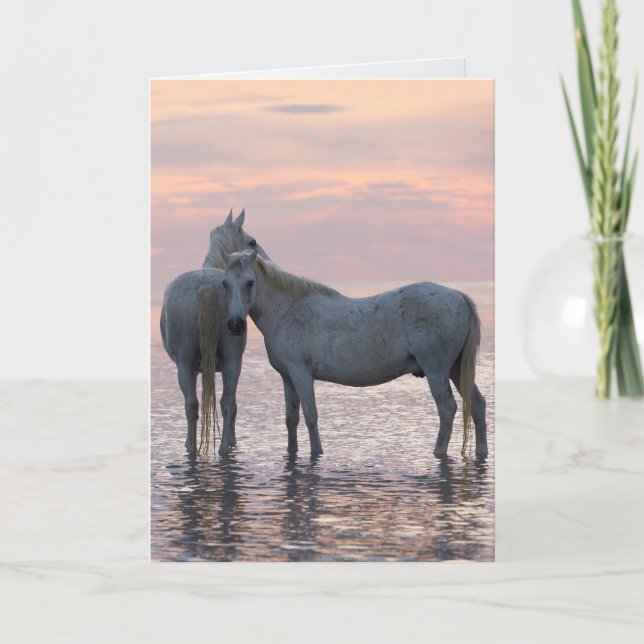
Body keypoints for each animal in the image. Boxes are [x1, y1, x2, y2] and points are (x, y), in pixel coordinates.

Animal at [160, 210, 269, 455]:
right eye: (252, 241)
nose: (266, 261)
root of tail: (206, 286)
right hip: (227, 362)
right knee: (222, 403)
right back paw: (221, 447)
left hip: (188, 365)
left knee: (196, 404)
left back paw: (199, 447)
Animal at [221, 249, 488, 459]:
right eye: (225, 283)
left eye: (250, 282)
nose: (234, 325)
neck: (287, 311)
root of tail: (459, 296)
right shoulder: (288, 377)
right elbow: (291, 419)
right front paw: (292, 453)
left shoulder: (301, 374)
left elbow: (310, 415)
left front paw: (317, 453)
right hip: (456, 369)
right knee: (478, 405)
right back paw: (481, 452)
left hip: (437, 370)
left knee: (447, 408)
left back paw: (438, 452)